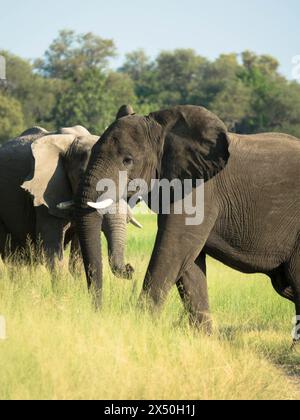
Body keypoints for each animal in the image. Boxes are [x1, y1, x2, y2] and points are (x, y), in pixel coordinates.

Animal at [0, 124, 138, 280]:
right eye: (83, 175)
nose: (130, 268)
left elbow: (79, 253)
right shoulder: (44, 192)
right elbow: (53, 249)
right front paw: (60, 286)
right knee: (11, 255)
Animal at [75, 104, 300, 342]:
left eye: (128, 160)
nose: (129, 269)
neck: (164, 129)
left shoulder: (200, 192)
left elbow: (175, 249)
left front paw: (137, 330)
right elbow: (188, 263)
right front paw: (206, 340)